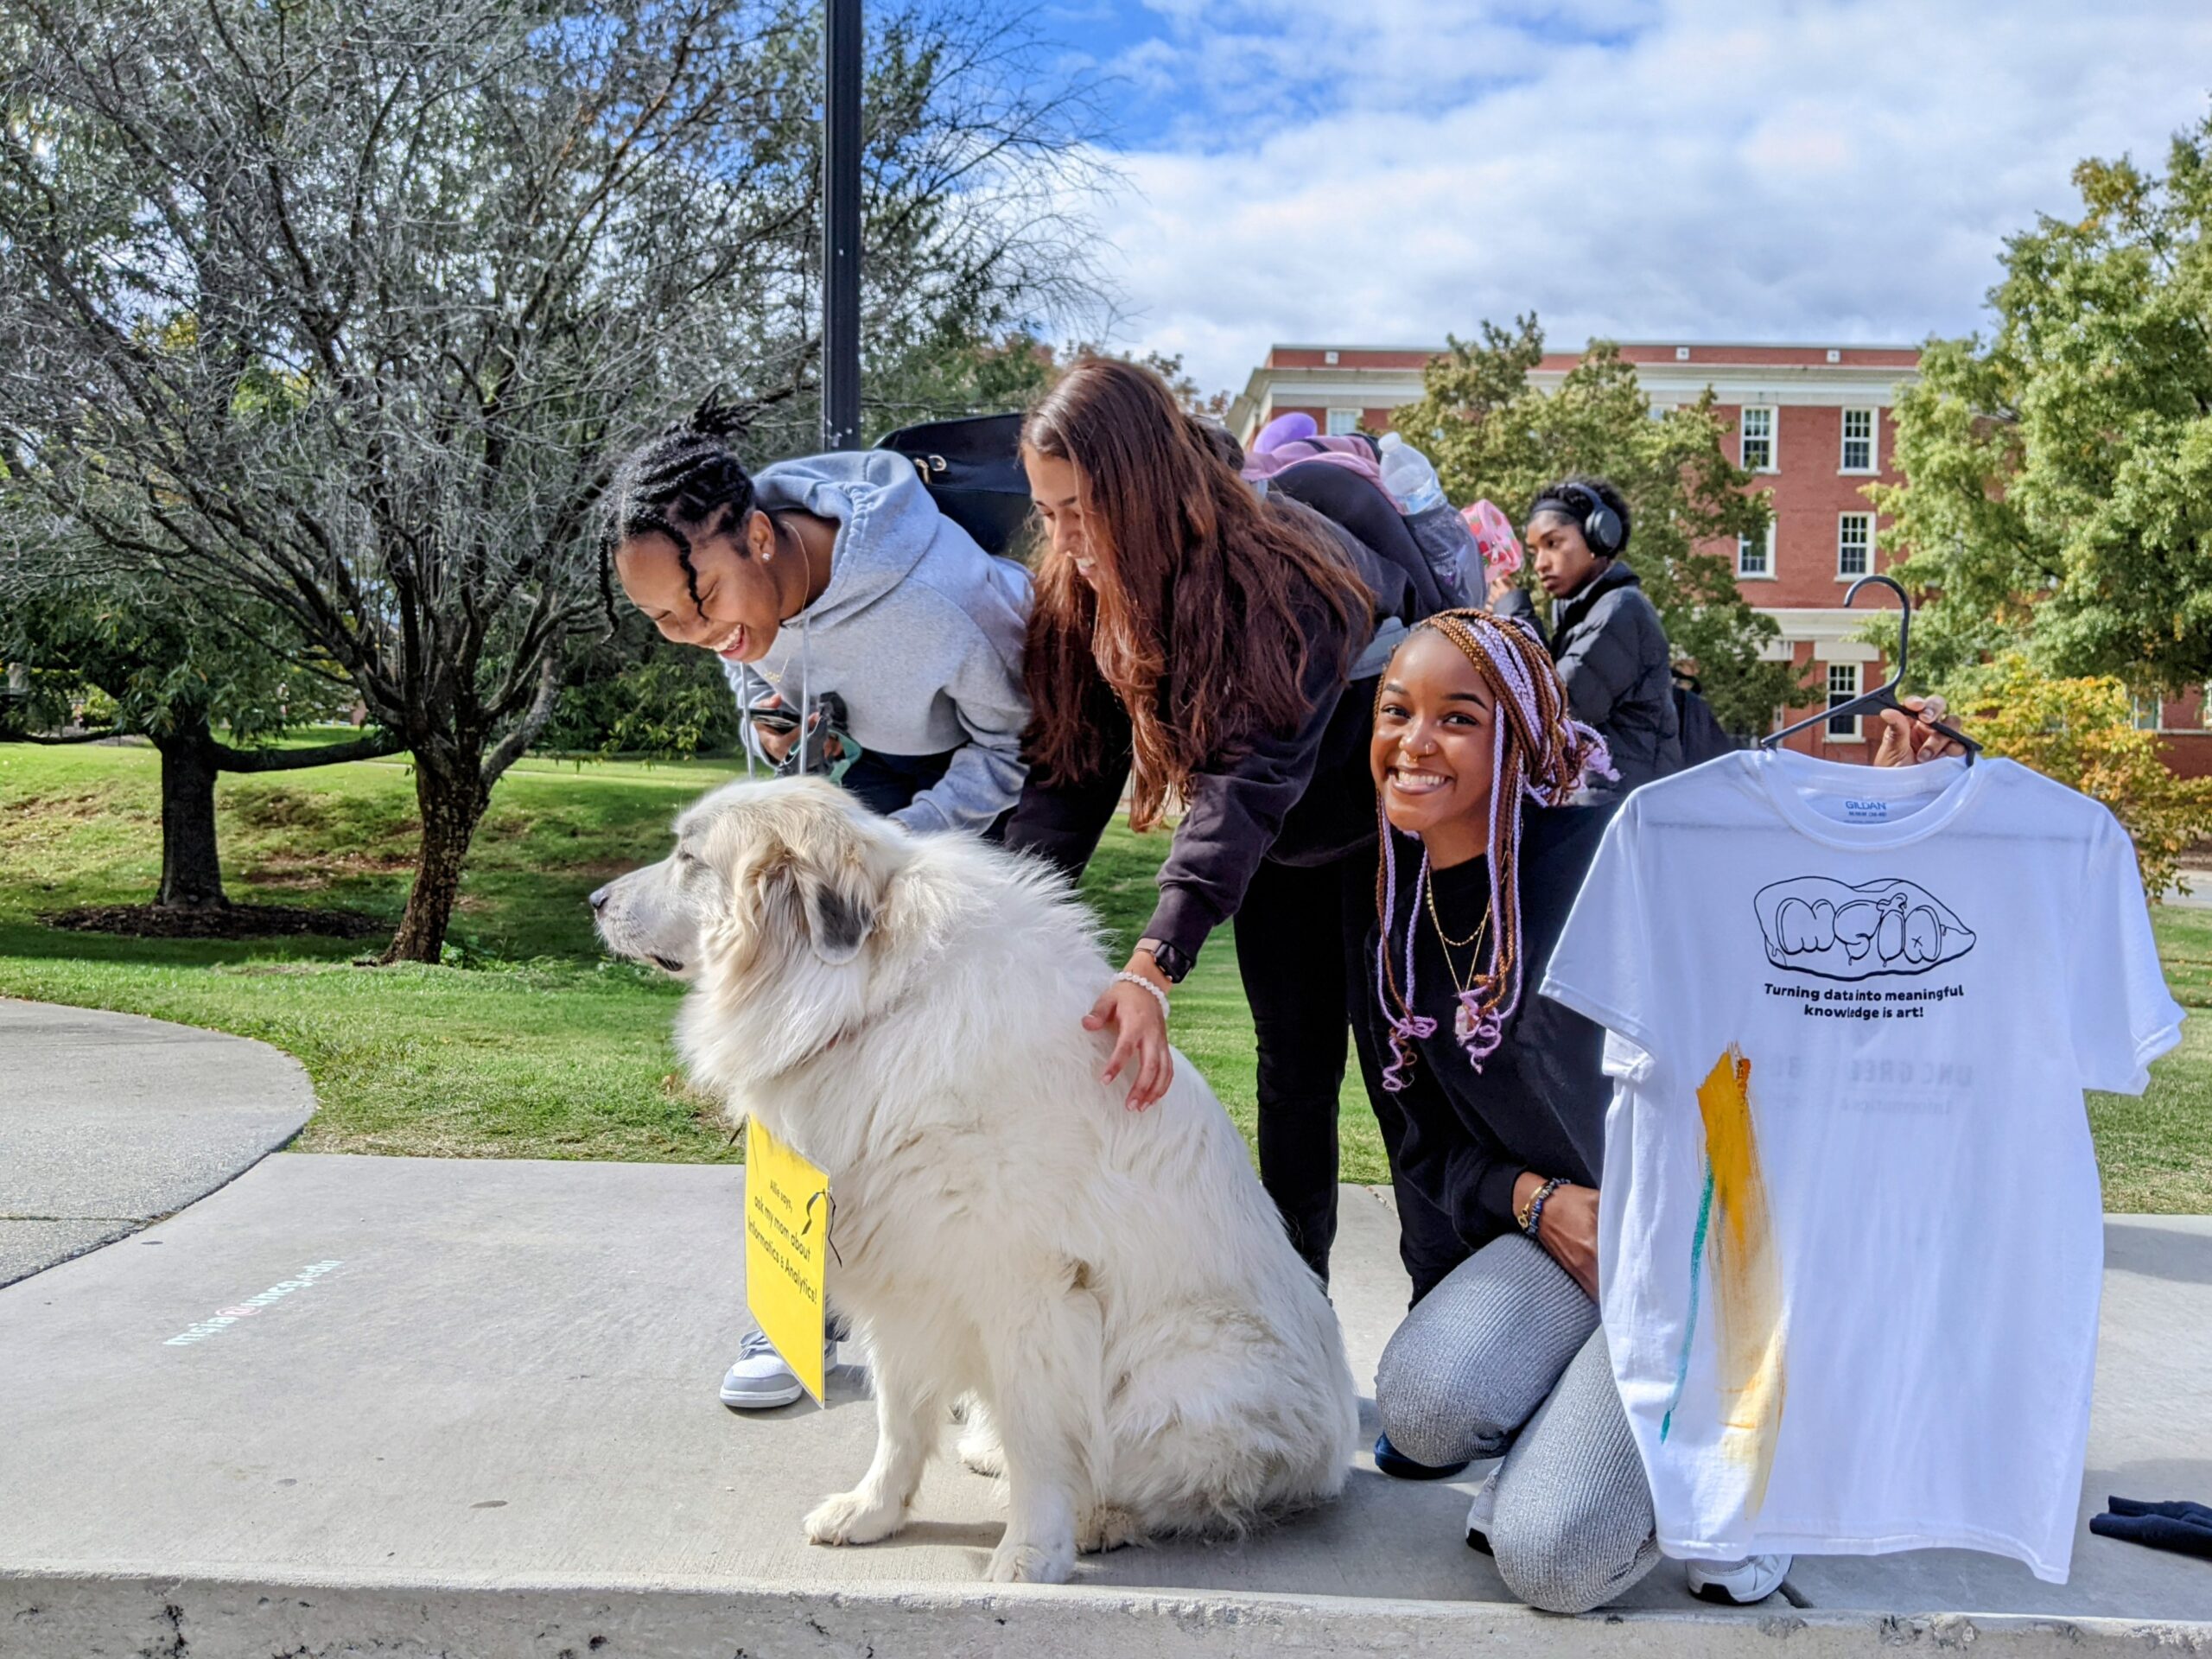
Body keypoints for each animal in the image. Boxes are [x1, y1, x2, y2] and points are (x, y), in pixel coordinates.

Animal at [606, 779, 1362, 1583]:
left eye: (689, 857)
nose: (595, 900)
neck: (873, 1004)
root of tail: (1335, 1450)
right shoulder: (907, 1279)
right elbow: (899, 1421)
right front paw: (874, 1511)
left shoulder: (1031, 1292)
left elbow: (1039, 1436)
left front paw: (1032, 1551)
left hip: (1188, 1375)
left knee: (1186, 1486)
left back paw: (1101, 1518)